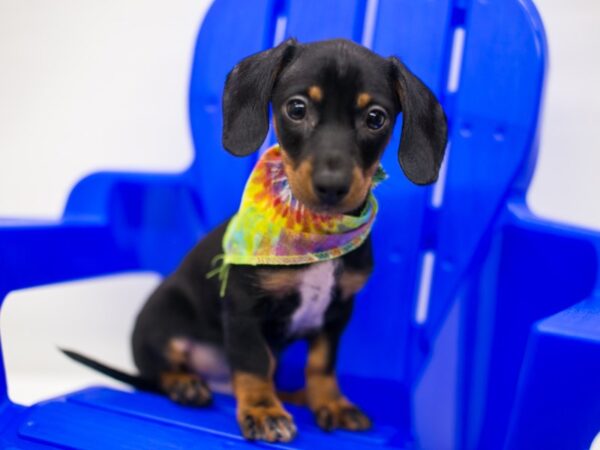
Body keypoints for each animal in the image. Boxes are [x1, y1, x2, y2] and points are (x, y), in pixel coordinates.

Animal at [63, 38, 448, 442]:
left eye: (376, 118)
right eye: (297, 108)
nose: (331, 186)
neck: (316, 233)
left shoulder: (338, 313)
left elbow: (321, 364)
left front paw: (330, 402)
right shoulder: (244, 309)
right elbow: (252, 364)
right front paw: (263, 410)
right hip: (158, 321)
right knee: (164, 369)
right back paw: (185, 384)